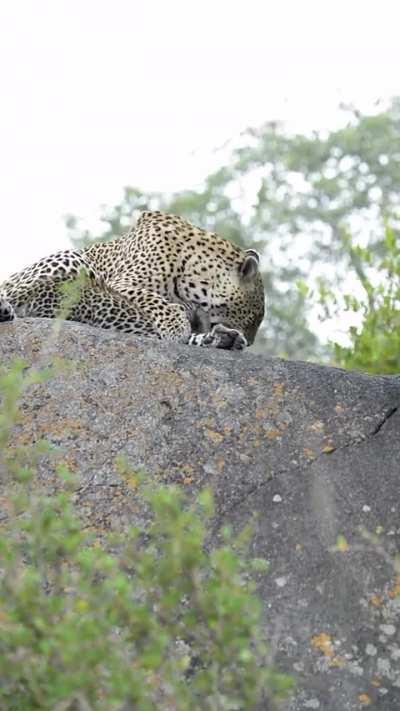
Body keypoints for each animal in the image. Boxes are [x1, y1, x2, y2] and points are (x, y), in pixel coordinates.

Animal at [0, 211, 265, 350]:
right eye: (252, 319)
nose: (250, 342)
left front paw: (216, 336)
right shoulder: (125, 283)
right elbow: (161, 303)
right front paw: (177, 327)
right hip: (72, 258)